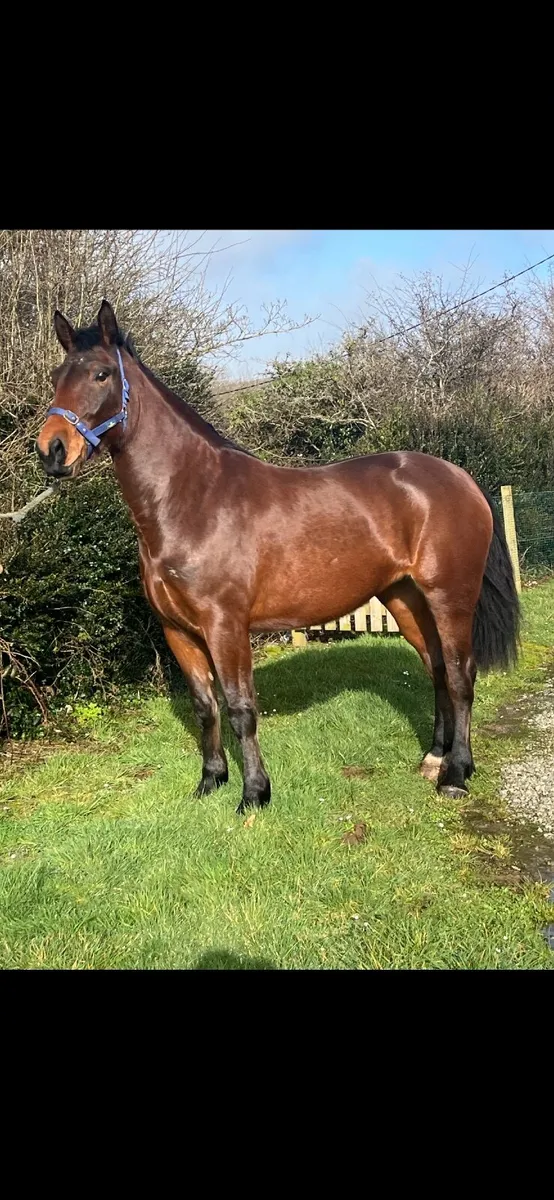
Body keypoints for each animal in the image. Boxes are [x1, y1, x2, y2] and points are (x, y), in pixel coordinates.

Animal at [36, 300, 520, 814]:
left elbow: (240, 708)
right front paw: (210, 781)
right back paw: (433, 758)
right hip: (406, 599)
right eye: (57, 376)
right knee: (437, 670)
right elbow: (205, 706)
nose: (52, 450)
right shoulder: (178, 631)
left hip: (450, 597)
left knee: (461, 675)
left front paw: (254, 794)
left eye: (102, 374)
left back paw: (456, 774)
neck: (193, 499)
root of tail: (460, 478)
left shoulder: (226, 626)